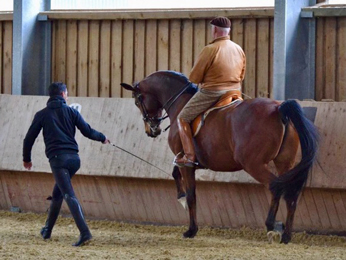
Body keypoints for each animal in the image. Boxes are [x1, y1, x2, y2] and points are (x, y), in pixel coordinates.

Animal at [120, 69, 318, 244]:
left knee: (275, 187)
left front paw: (191, 229)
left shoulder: (187, 163)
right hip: (284, 163)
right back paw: (286, 236)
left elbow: (191, 194)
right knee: (291, 195)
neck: (181, 103)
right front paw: (181, 199)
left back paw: (272, 226)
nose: (152, 130)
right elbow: (175, 173)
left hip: (254, 164)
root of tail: (278, 107)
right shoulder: (186, 160)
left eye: (137, 101)